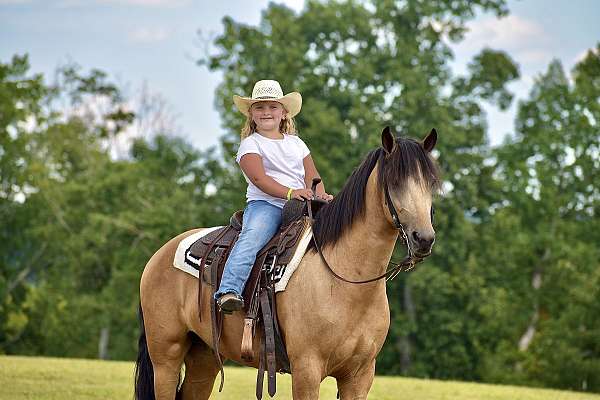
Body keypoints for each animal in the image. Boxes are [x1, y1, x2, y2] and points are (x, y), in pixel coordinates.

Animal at [135, 126, 440, 398]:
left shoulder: (360, 375)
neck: (345, 280)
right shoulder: (307, 369)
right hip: (166, 358)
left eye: (431, 185)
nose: (423, 239)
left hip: (204, 358)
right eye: (396, 182)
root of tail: (158, 256)